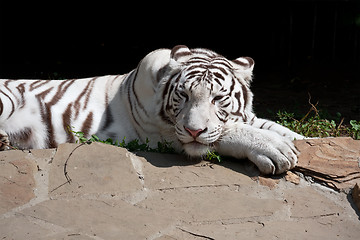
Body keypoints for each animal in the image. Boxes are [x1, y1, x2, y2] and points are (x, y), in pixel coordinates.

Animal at [0, 44, 304, 174]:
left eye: (218, 99)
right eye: (183, 95)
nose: (194, 130)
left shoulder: (246, 116)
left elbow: (274, 127)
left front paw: (299, 140)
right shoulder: (165, 136)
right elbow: (226, 133)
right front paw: (275, 151)